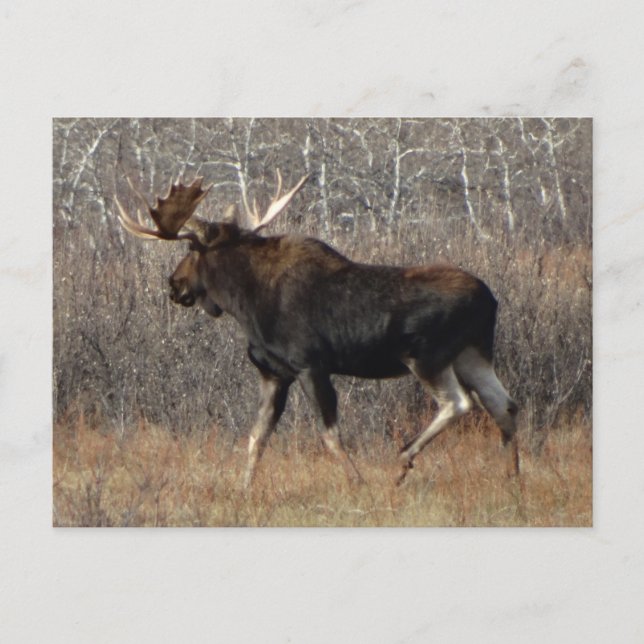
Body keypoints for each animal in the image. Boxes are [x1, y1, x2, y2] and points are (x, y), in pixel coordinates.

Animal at [115, 171, 519, 488]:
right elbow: (256, 438)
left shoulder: (310, 365)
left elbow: (330, 436)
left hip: (427, 356)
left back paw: (402, 461)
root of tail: (491, 299)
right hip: (472, 353)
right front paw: (243, 488)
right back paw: (512, 477)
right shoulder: (274, 374)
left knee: (459, 403)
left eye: (192, 252)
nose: (174, 285)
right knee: (504, 404)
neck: (244, 301)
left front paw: (357, 482)